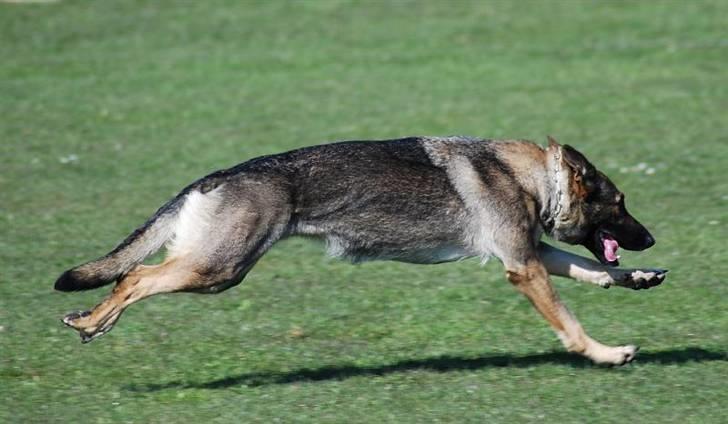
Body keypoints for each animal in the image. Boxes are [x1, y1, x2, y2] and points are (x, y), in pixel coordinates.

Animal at [59, 136, 668, 364]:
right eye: (620, 203)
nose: (652, 239)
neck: (531, 177)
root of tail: (212, 178)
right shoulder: (523, 267)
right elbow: (571, 323)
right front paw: (605, 353)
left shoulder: (532, 256)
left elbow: (593, 271)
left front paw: (638, 277)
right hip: (219, 269)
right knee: (134, 277)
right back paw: (92, 322)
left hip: (213, 266)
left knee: (135, 273)